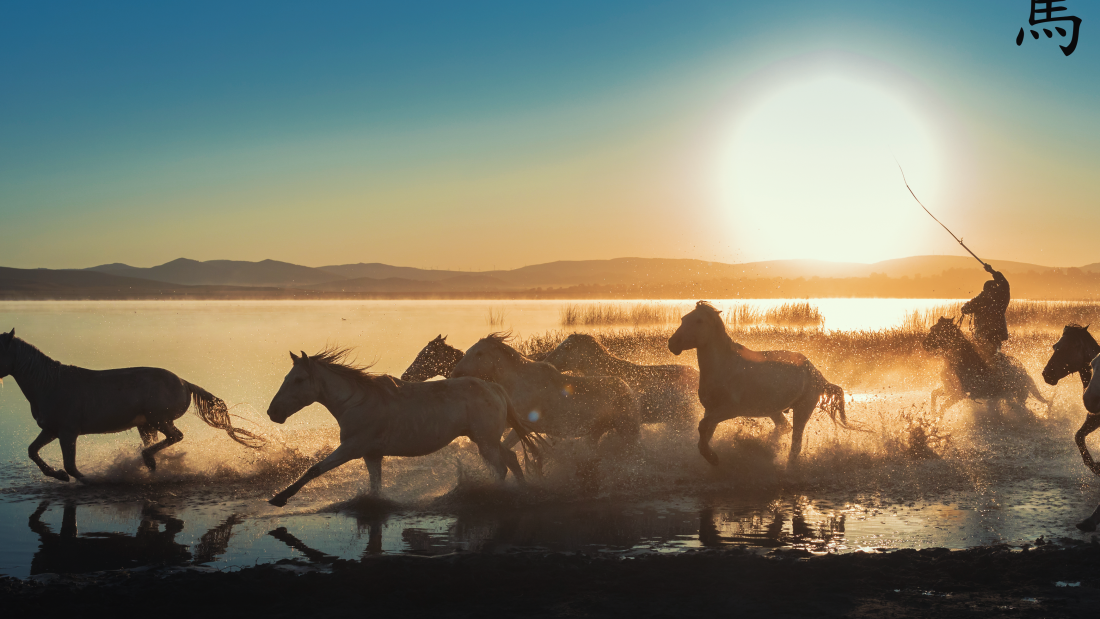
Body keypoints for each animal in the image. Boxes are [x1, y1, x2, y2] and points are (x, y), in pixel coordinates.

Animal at [0, 329, 262, 483]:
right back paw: (151, 466)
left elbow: (72, 466)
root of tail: (184, 383)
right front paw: (57, 475)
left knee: (175, 437)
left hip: (158, 419)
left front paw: (87, 480)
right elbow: (32, 451)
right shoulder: (51, 430)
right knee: (161, 441)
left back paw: (147, 461)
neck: (49, 384)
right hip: (147, 425)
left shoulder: (67, 432)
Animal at [266, 346, 542, 507]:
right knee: (511, 458)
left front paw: (280, 498)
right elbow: (375, 485)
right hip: (486, 439)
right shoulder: (371, 454)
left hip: (485, 442)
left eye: (299, 379)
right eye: (287, 378)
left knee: (502, 466)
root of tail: (494, 387)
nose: (273, 412)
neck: (357, 401)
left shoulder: (352, 448)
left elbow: (315, 469)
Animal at [449, 333, 641, 450]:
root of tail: (628, 389)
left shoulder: (524, 427)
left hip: (627, 429)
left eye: (479, 353)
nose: (455, 373)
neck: (518, 384)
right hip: (597, 431)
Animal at [667, 301, 847, 467]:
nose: (673, 343)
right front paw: (712, 457)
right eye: (683, 318)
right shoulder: (710, 409)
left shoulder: (729, 410)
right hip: (774, 410)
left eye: (699, 321)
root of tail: (817, 374)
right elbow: (704, 434)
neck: (724, 366)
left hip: (802, 410)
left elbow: (703, 427)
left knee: (795, 444)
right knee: (784, 427)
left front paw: (714, 458)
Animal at [1041, 324, 1100, 476]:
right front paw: (1095, 466)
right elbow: (1078, 436)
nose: (1046, 374)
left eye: (1069, 347)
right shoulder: (1093, 418)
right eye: (1055, 347)